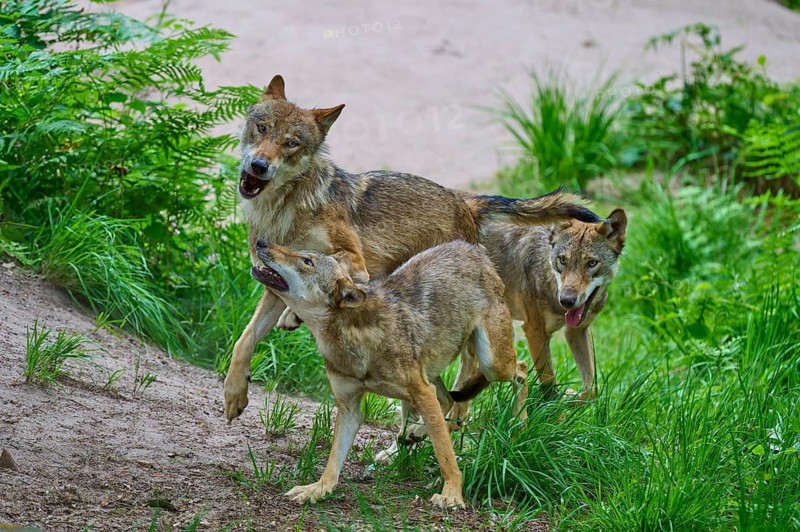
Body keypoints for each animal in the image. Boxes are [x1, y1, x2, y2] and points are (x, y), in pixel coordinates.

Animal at [223, 74, 599, 421]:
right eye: (261, 128)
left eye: (291, 143)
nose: (259, 165)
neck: (286, 208)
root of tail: (466, 202)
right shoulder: (276, 281)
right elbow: (244, 340)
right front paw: (234, 393)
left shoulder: (354, 259)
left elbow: (333, 267)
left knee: (475, 364)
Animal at [251, 239, 528, 508]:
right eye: (301, 254)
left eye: (307, 261)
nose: (261, 242)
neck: (352, 335)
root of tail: (474, 248)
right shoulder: (350, 408)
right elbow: (332, 463)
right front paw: (318, 490)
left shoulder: (421, 391)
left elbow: (445, 455)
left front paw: (451, 494)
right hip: (429, 379)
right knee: (447, 400)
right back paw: (412, 435)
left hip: (492, 365)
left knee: (521, 370)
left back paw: (519, 424)